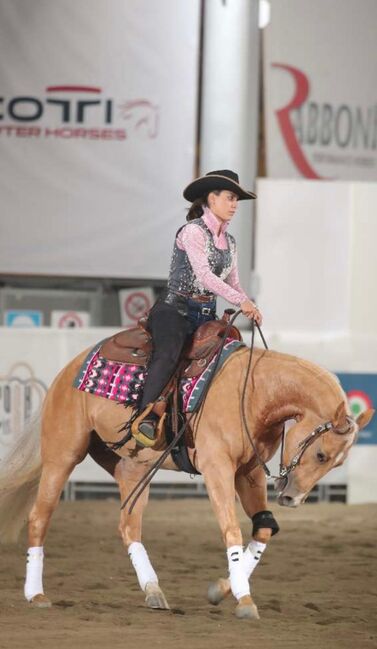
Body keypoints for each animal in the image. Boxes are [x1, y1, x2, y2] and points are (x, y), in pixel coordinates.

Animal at [0, 344, 372, 616]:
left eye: (339, 462)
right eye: (322, 454)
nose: (293, 498)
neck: (254, 392)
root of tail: (68, 370)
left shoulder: (248, 471)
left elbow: (263, 528)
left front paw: (222, 589)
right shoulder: (217, 467)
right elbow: (231, 529)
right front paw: (244, 599)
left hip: (133, 468)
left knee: (128, 526)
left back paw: (153, 590)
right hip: (63, 455)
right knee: (39, 517)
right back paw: (35, 594)